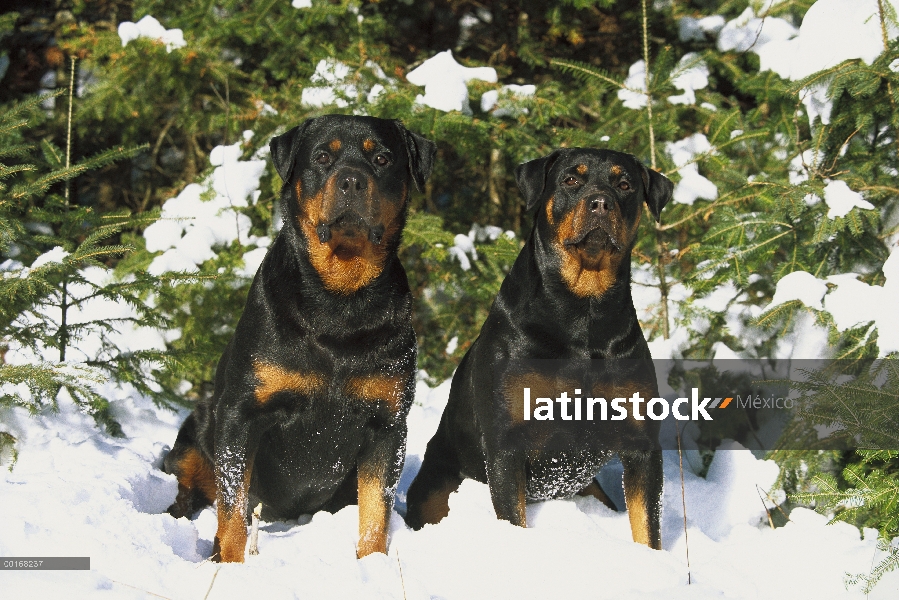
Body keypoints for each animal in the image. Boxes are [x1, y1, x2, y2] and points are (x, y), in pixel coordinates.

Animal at [166, 113, 440, 564]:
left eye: (382, 158)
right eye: (323, 157)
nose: (351, 180)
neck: (340, 302)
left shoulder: (387, 424)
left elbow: (375, 511)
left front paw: (373, 563)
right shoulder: (241, 415)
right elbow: (233, 506)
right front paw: (229, 563)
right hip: (199, 426)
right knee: (191, 486)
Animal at [404, 146, 672, 548]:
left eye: (624, 184)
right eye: (571, 179)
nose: (601, 203)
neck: (583, 310)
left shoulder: (641, 443)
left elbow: (646, 526)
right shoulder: (507, 444)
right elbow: (513, 520)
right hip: (437, 485)